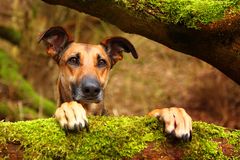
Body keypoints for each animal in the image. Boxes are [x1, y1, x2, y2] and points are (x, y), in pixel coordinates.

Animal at [40, 26, 192, 141]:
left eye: (102, 62)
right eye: (73, 60)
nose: (92, 89)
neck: (88, 109)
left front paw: (172, 113)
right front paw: (70, 110)